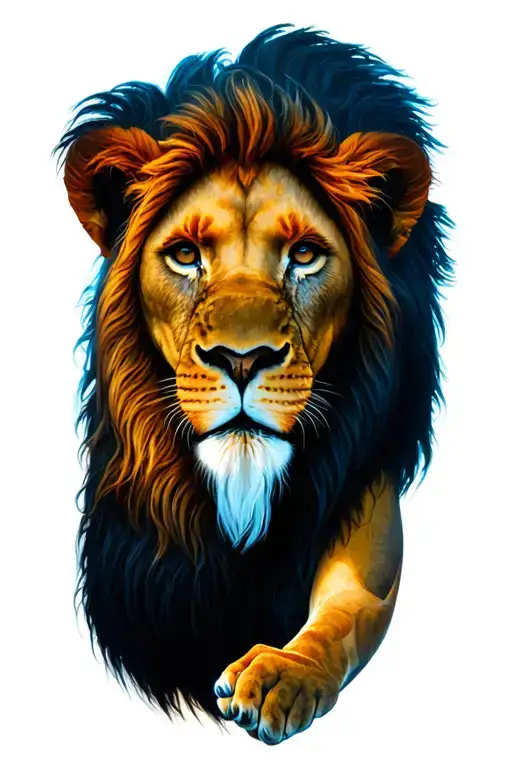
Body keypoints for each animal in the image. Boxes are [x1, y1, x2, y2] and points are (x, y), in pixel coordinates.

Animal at [55, 24, 453, 745]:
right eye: (186, 255)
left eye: (305, 255)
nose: (242, 360)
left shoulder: (367, 510)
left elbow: (340, 615)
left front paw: (278, 677)